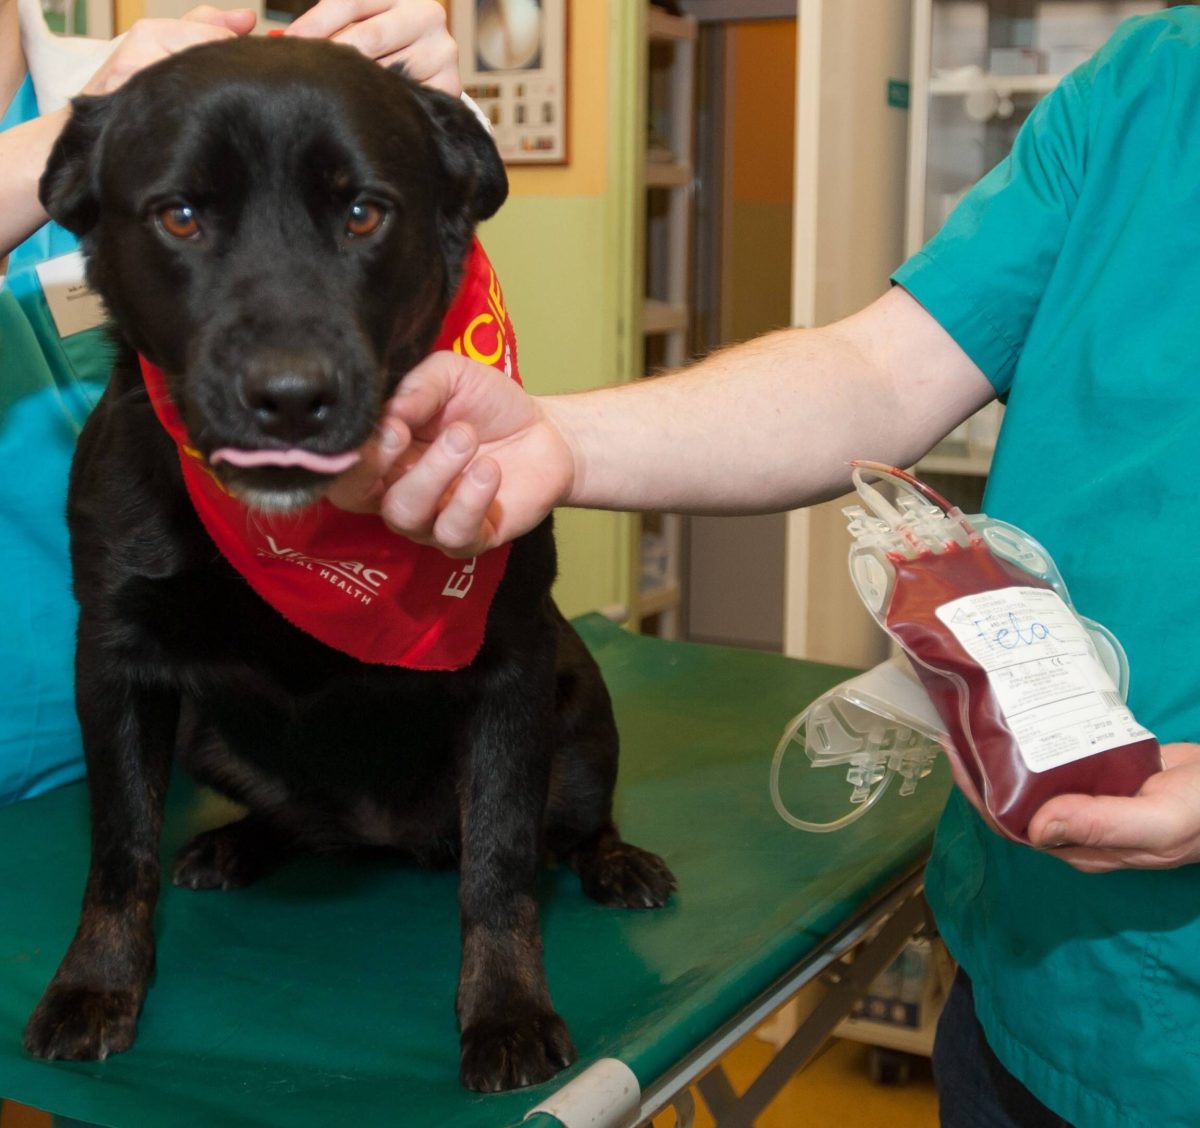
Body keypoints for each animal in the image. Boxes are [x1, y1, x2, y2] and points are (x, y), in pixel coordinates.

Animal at [25, 37, 676, 1094]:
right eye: (181, 215)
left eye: (364, 212)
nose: (291, 397)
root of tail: (388, 833)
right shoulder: (115, 661)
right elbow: (119, 851)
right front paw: (95, 986)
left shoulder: (511, 670)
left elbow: (501, 865)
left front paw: (505, 1009)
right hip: (203, 729)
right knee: (289, 820)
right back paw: (237, 842)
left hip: (580, 717)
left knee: (566, 829)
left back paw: (614, 863)